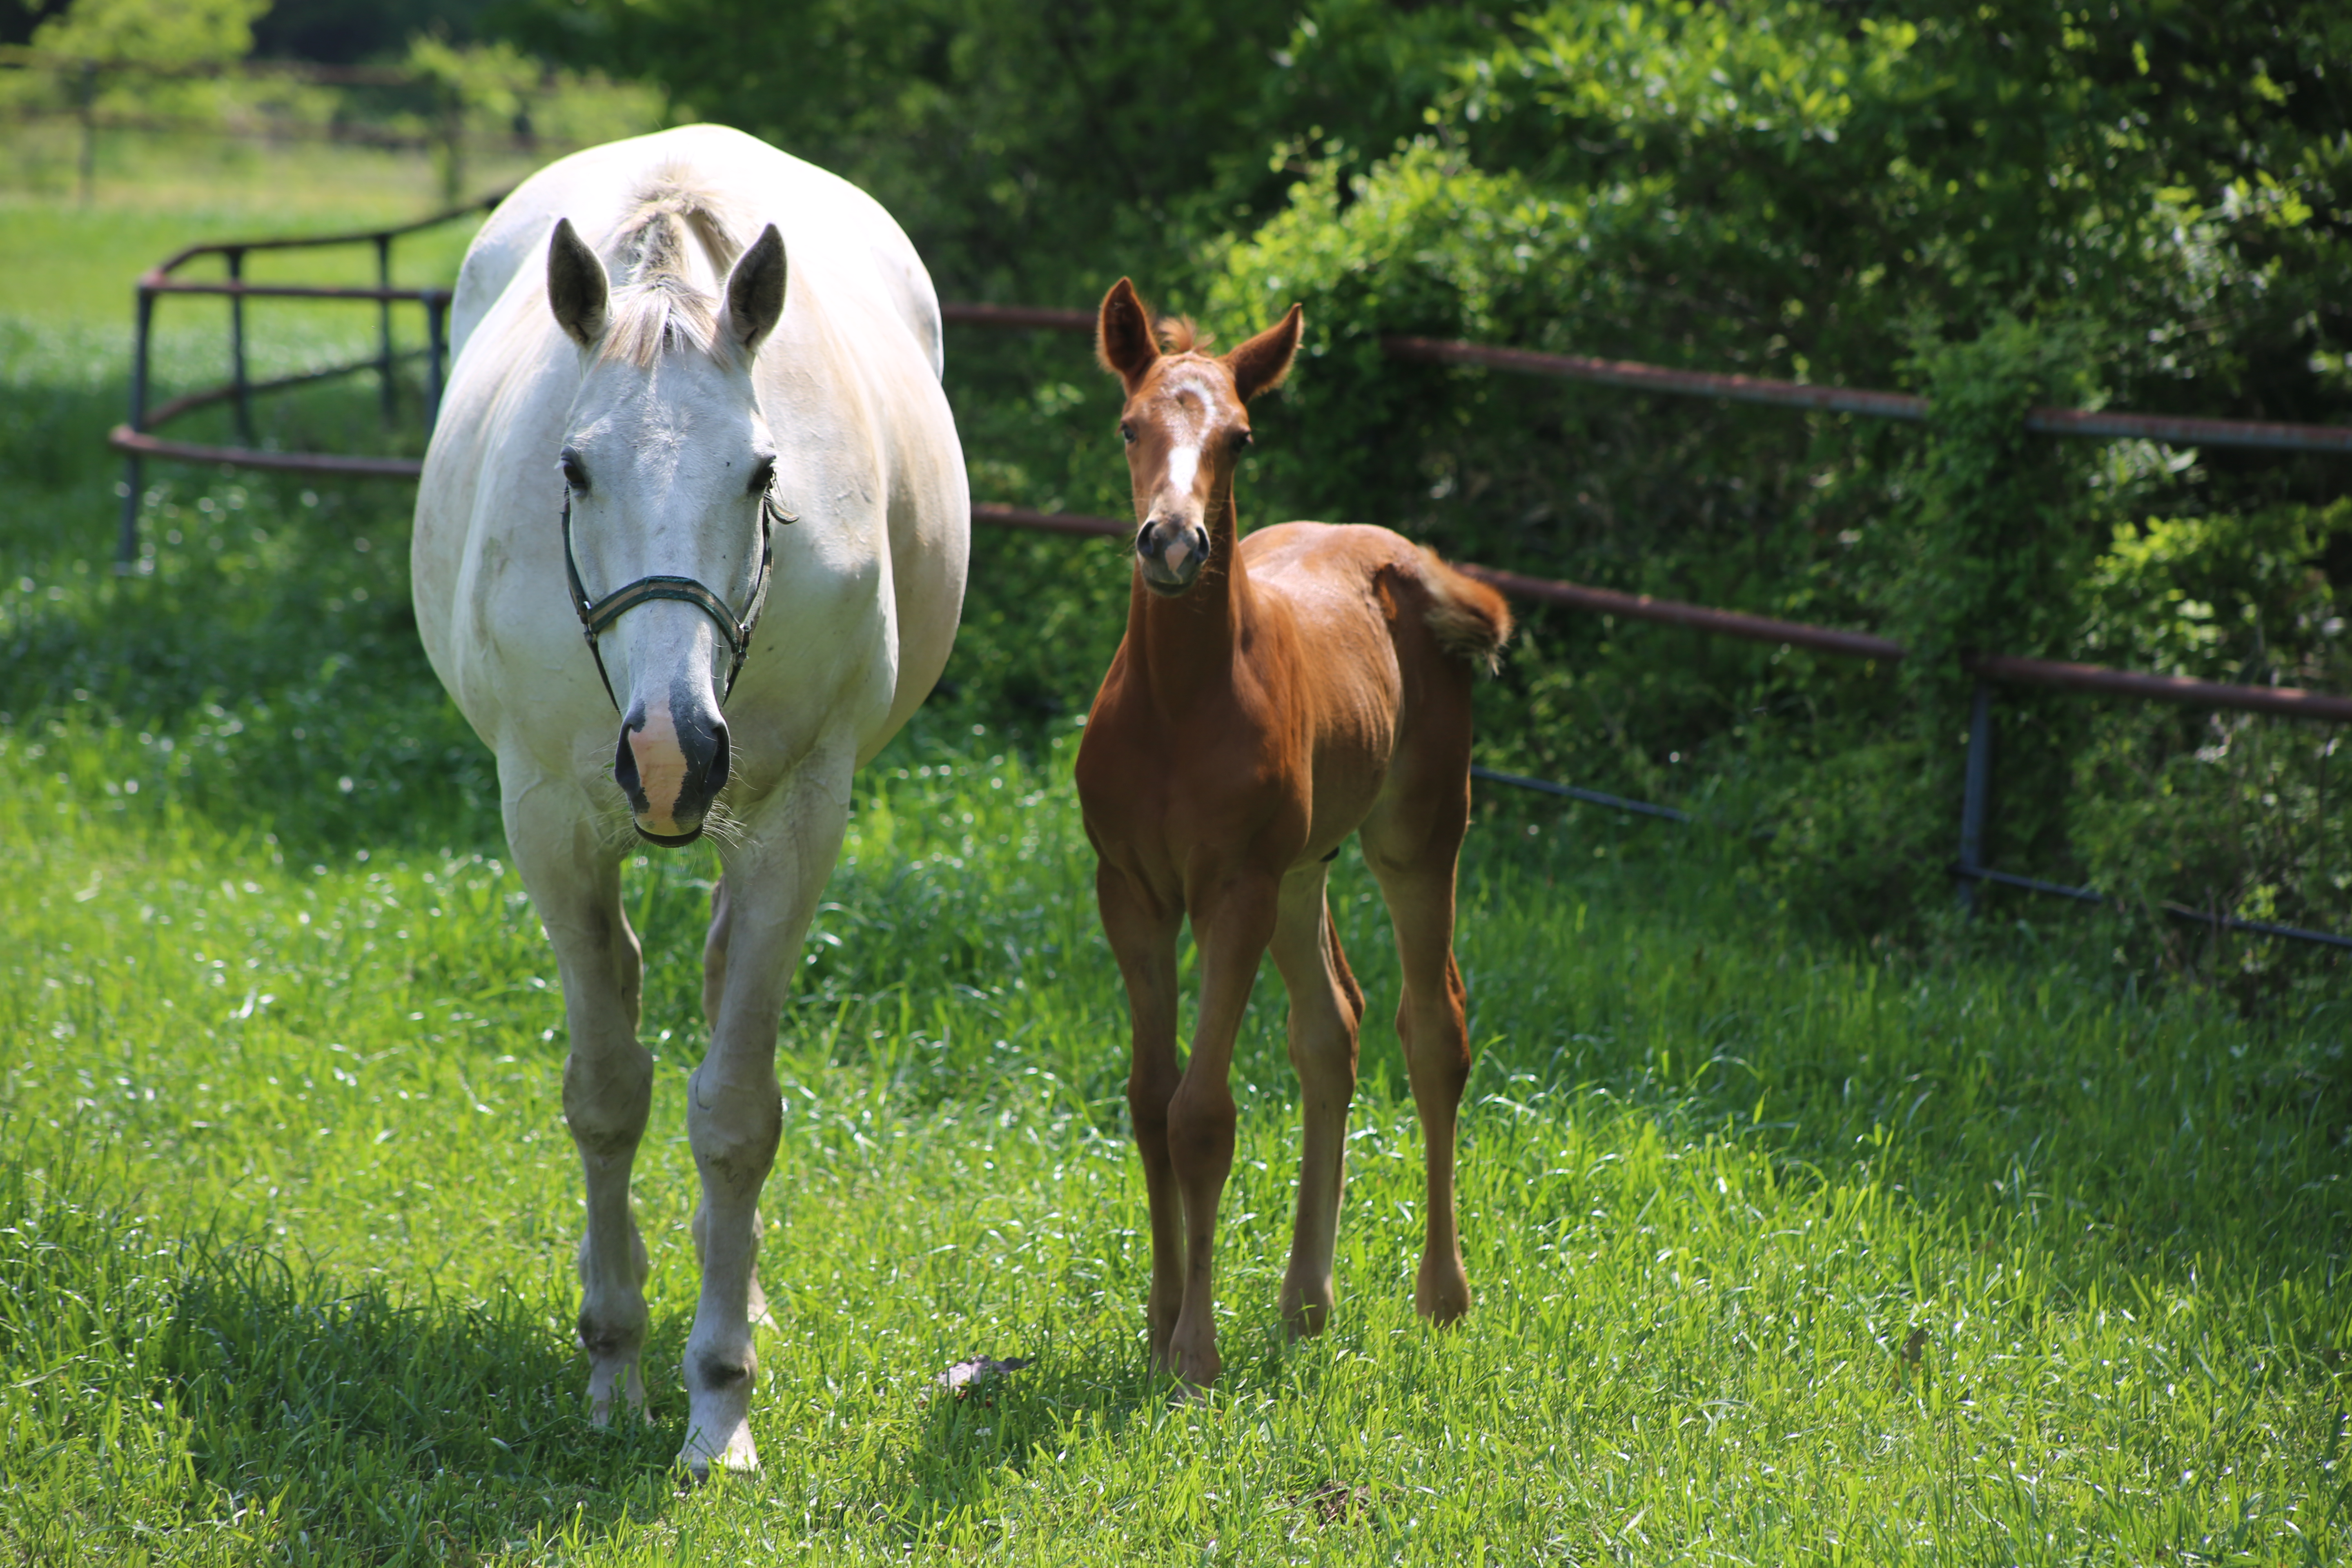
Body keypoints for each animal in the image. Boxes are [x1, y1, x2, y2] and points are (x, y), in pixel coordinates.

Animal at [412, 126, 964, 1486]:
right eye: (574, 466)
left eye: (764, 472)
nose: (673, 755)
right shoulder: (546, 819)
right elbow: (608, 1093)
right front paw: (613, 1368)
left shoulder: (802, 816)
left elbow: (734, 1114)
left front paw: (720, 1404)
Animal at [1077, 278, 1515, 1382]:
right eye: (1128, 424)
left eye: (1239, 437)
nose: (1172, 544)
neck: (1177, 709)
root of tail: (1403, 555)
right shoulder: (1131, 892)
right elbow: (1149, 1099)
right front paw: (1159, 1319)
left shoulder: (1230, 889)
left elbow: (1201, 1112)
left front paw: (1193, 1353)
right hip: (1300, 874)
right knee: (1332, 1030)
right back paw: (1305, 1300)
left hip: (1414, 837)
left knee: (1432, 1027)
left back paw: (1440, 1296)